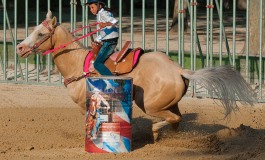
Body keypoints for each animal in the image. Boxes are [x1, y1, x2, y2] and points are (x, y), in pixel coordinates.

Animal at [15, 11, 255, 141]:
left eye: (41, 33)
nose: (19, 48)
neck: (77, 64)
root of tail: (178, 69)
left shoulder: (87, 104)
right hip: (170, 102)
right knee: (177, 120)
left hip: (149, 104)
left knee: (173, 119)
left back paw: (155, 131)